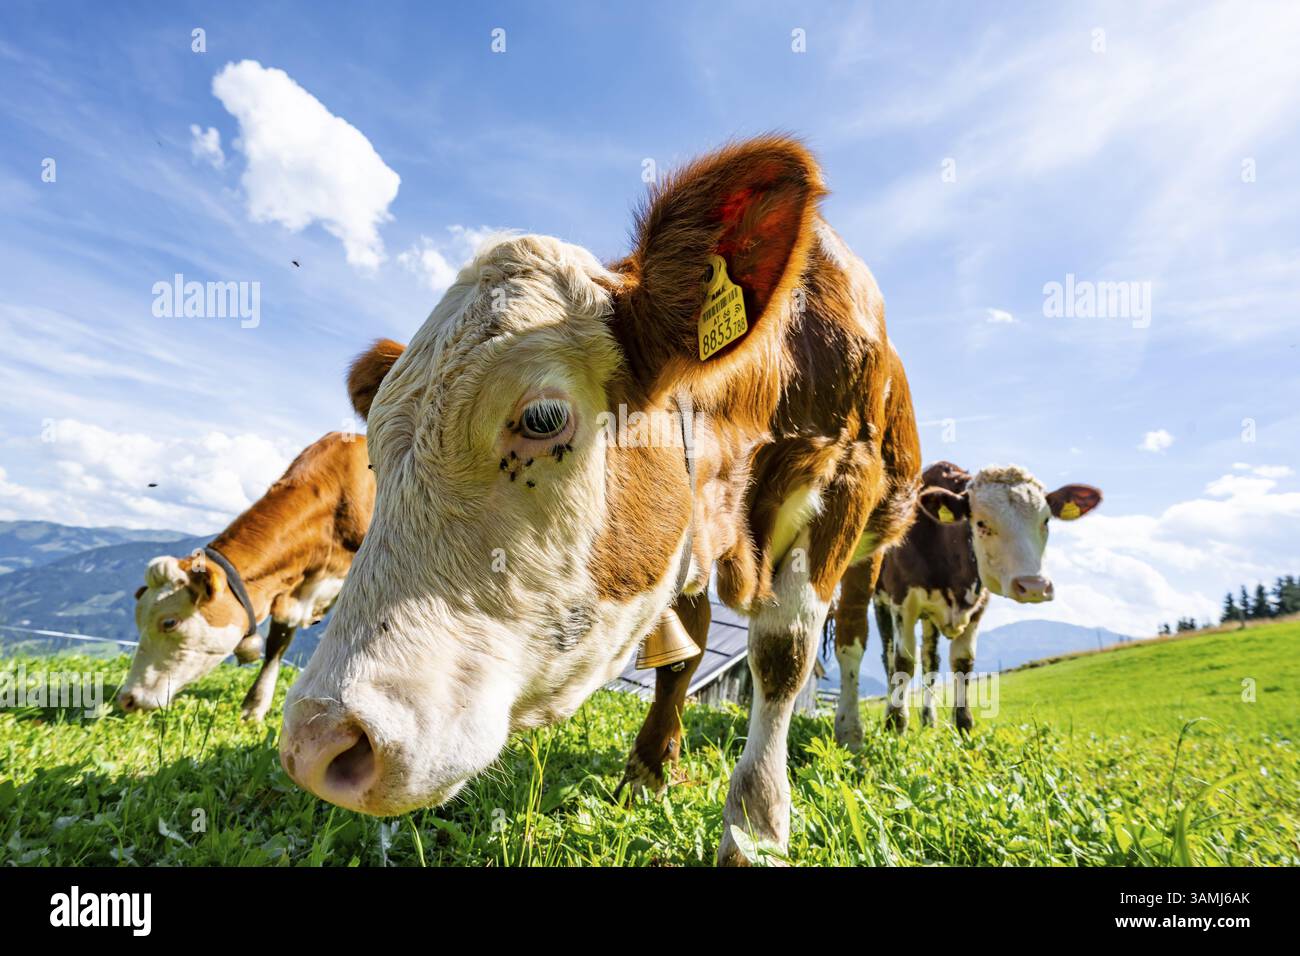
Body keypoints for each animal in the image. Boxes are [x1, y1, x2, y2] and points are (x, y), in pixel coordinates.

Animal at [278, 136, 922, 865]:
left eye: (542, 419)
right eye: (374, 457)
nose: (317, 741)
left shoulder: (843, 484)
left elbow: (782, 653)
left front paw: (756, 824)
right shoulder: (684, 530)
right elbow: (686, 651)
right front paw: (648, 771)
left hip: (874, 544)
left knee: (854, 641)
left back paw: (853, 733)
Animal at [831, 461, 1101, 742]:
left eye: (1045, 520)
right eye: (981, 522)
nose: (1034, 587)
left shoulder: (978, 606)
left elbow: (962, 662)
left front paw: (963, 726)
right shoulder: (902, 601)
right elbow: (903, 661)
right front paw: (896, 723)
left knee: (931, 662)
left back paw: (929, 719)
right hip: (881, 603)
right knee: (889, 658)